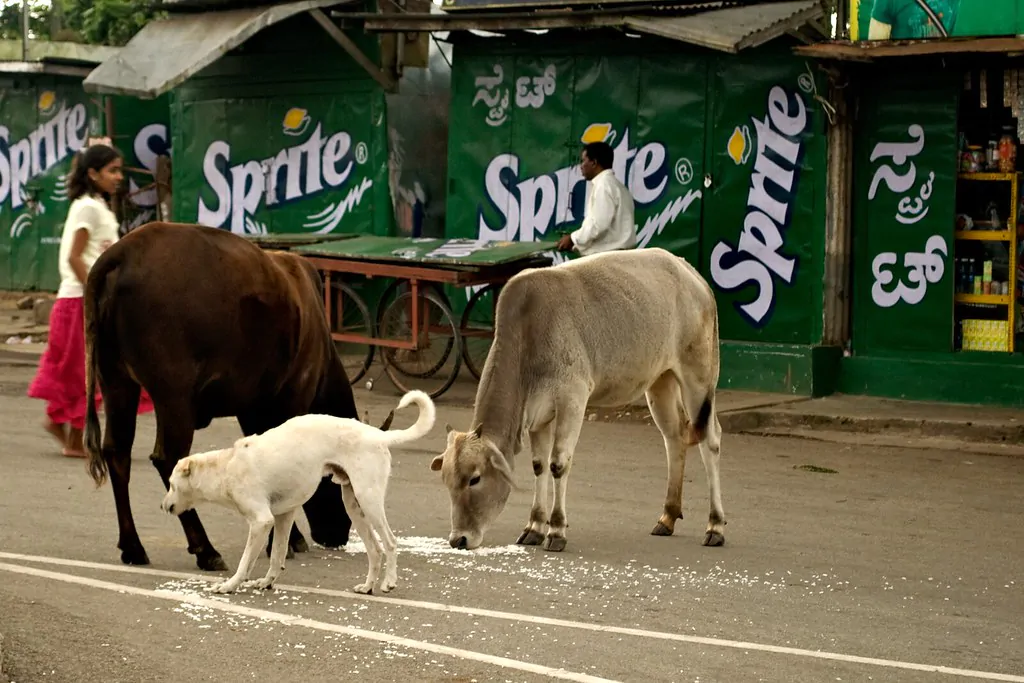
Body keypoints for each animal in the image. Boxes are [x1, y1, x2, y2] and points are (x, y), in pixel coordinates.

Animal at [82, 223, 387, 573]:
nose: (337, 534)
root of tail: (122, 252)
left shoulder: (252, 408)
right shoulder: (291, 399)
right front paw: (285, 540)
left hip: (116, 382)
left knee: (117, 453)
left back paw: (133, 546)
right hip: (174, 395)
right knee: (168, 457)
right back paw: (205, 549)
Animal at [160, 393, 436, 593]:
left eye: (172, 484)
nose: (163, 507)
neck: (226, 467)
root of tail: (376, 434)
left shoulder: (261, 521)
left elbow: (245, 561)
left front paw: (229, 585)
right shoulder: (283, 517)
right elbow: (276, 555)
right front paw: (266, 582)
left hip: (369, 500)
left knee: (389, 543)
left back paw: (389, 582)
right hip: (353, 504)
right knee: (375, 550)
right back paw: (368, 586)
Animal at [428, 248, 724, 552]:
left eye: (475, 478)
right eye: (446, 481)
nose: (459, 539)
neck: (528, 333)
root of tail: (690, 272)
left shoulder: (573, 399)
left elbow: (558, 464)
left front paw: (556, 530)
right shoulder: (537, 416)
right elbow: (539, 465)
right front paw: (534, 526)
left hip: (699, 377)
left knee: (710, 440)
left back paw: (715, 525)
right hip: (660, 383)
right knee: (674, 438)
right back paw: (667, 517)